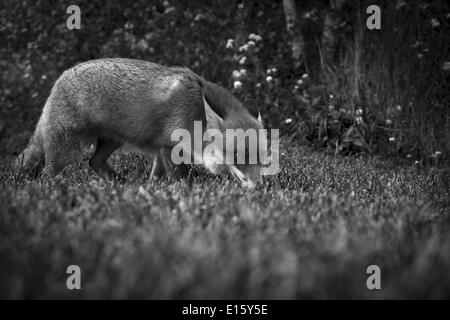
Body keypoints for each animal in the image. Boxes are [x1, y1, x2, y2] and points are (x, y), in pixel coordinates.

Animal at [15, 58, 266, 188]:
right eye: (236, 155)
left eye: (263, 157)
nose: (259, 187)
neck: (195, 114)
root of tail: (60, 78)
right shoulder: (169, 145)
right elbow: (182, 179)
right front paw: (186, 193)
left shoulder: (160, 148)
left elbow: (156, 175)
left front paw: (150, 190)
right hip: (67, 149)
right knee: (47, 173)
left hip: (113, 141)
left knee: (94, 162)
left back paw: (120, 183)